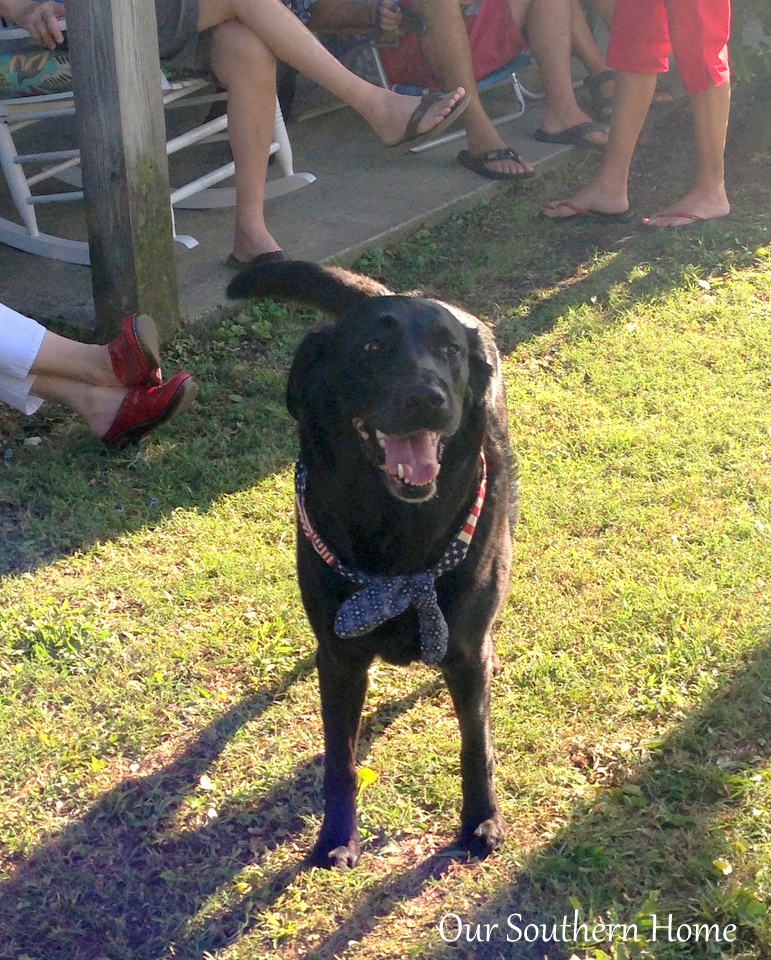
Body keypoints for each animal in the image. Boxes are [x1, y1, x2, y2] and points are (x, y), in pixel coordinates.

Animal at [229, 262, 520, 872]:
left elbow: (475, 743)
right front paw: (337, 838)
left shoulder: (463, 652)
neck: (400, 538)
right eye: (371, 347)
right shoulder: (340, 660)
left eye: (449, 350)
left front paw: (480, 820)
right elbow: (339, 759)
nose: (429, 398)